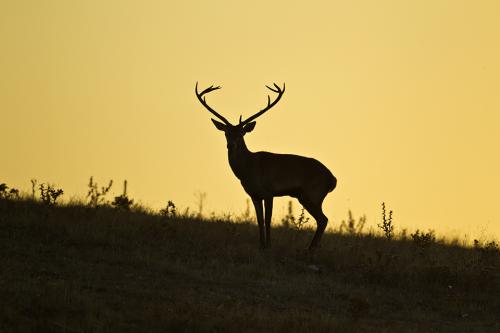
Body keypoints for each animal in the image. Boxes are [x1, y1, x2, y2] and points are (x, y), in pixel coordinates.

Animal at [195, 82, 336, 249]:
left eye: (241, 134)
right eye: (226, 133)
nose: (231, 145)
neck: (248, 170)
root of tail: (333, 180)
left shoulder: (269, 191)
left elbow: (268, 220)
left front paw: (268, 246)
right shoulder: (254, 194)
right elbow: (259, 221)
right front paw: (261, 246)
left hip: (312, 194)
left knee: (323, 219)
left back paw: (309, 250)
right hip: (309, 196)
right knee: (322, 220)